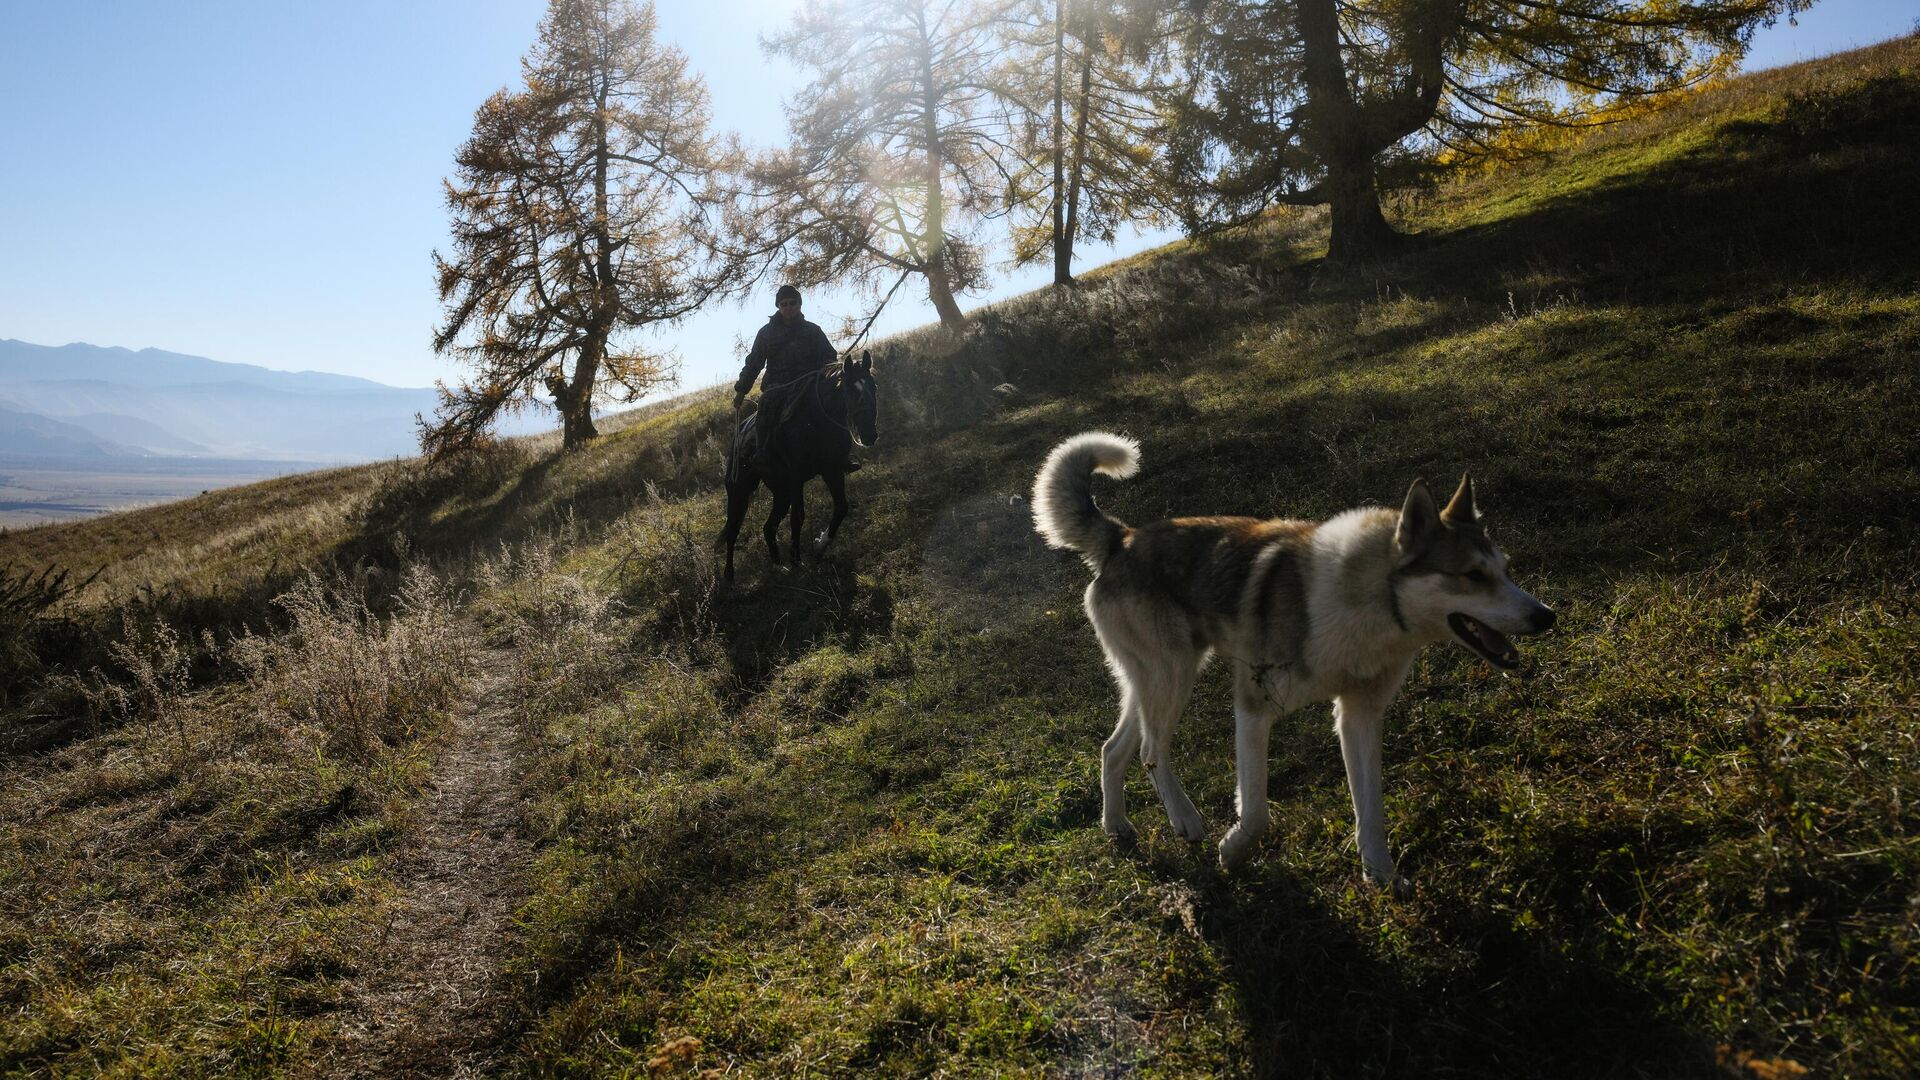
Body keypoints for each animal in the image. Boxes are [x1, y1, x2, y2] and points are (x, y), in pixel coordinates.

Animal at [721, 349, 879, 576]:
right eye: (849, 389)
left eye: (873, 387)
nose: (869, 435)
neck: (817, 419)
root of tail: (737, 436)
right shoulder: (796, 476)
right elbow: (798, 516)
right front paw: (797, 559)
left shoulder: (831, 470)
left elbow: (841, 507)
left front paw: (820, 545)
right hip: (740, 489)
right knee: (733, 528)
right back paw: (729, 575)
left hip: (781, 491)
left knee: (768, 527)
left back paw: (779, 566)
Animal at [1029, 428, 1551, 883]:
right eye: (1473, 575)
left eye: (1505, 571)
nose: (1546, 616)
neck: (1368, 604)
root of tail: (1122, 538)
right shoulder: (1253, 706)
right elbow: (1257, 811)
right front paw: (1233, 852)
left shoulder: (1359, 716)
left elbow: (1371, 809)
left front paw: (1381, 877)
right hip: (1172, 676)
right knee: (1151, 752)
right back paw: (1185, 821)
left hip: (1152, 681)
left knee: (1113, 749)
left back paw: (1117, 826)